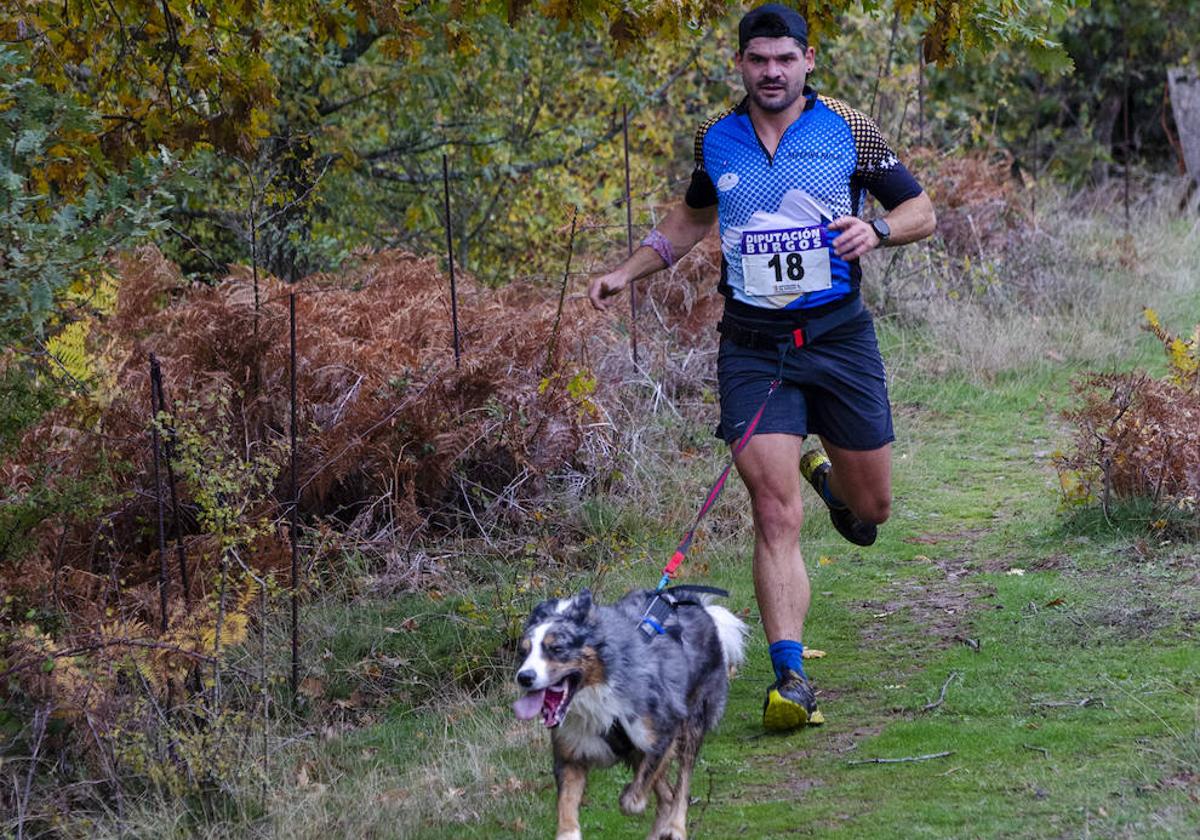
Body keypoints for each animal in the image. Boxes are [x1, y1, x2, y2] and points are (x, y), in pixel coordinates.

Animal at [511, 588, 744, 840]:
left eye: (557, 649)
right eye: (523, 652)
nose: (524, 677)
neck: (598, 692)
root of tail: (694, 604)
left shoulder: (663, 732)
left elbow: (634, 799)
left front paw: (630, 798)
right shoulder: (570, 755)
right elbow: (566, 806)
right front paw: (568, 831)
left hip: (694, 721)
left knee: (682, 785)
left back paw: (675, 827)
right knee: (667, 794)